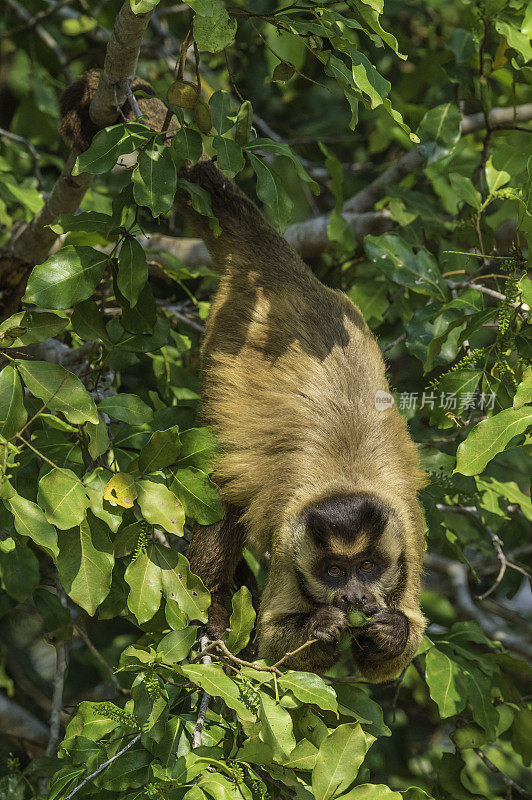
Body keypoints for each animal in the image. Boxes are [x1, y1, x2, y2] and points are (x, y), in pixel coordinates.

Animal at [58, 73, 426, 680]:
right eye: (332, 572)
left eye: (370, 566)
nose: (352, 598)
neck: (343, 480)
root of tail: (279, 272)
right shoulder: (291, 536)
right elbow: (278, 639)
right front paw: (320, 626)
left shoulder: (407, 538)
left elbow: (401, 642)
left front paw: (390, 631)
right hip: (228, 333)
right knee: (224, 494)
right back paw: (212, 625)